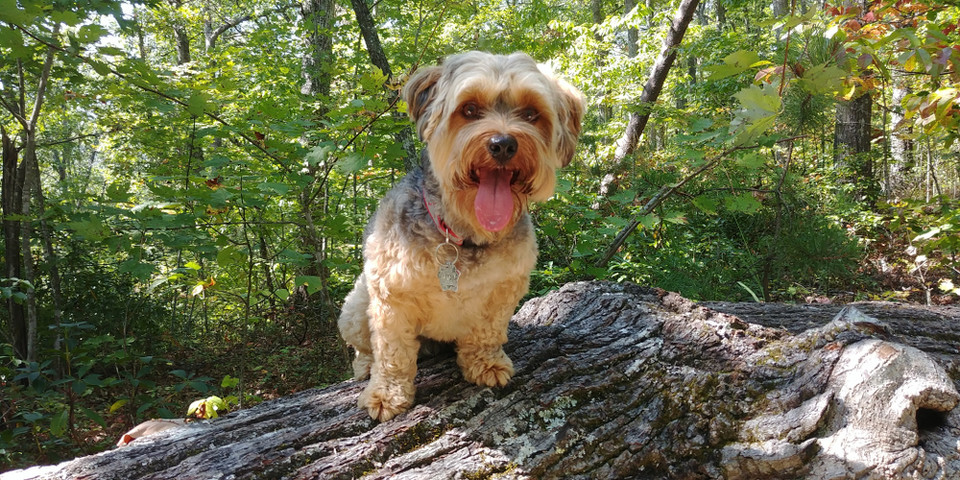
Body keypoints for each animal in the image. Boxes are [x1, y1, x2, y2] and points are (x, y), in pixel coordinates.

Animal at [336, 50, 584, 422]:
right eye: (468, 109)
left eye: (531, 113)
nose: (503, 144)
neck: (462, 236)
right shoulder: (392, 298)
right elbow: (392, 353)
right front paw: (386, 394)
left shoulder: (504, 289)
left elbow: (486, 332)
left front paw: (485, 363)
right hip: (355, 307)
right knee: (363, 348)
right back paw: (365, 367)